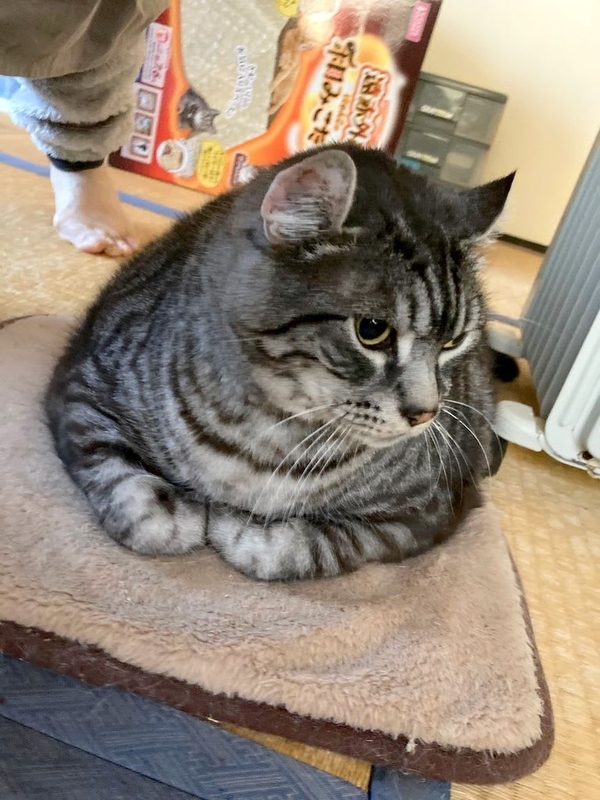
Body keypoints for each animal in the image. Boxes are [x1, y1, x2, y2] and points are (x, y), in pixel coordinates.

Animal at [45, 144, 514, 582]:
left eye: (453, 341)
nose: (425, 414)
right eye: (372, 330)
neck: (269, 434)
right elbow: (135, 503)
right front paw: (181, 513)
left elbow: (306, 547)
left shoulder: (428, 510)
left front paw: (236, 525)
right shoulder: (85, 388)